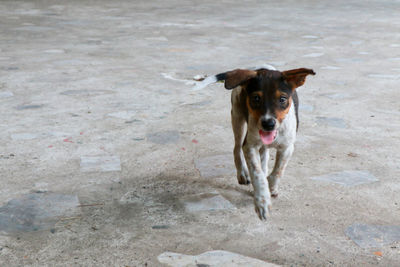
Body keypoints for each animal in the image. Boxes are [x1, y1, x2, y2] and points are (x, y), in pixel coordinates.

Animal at [194, 66, 316, 221]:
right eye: (256, 98)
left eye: (282, 99)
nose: (268, 124)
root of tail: (255, 68)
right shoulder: (249, 146)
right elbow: (257, 174)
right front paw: (262, 200)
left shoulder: (287, 147)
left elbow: (277, 171)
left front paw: (271, 187)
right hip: (237, 117)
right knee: (236, 148)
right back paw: (242, 174)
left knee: (263, 157)